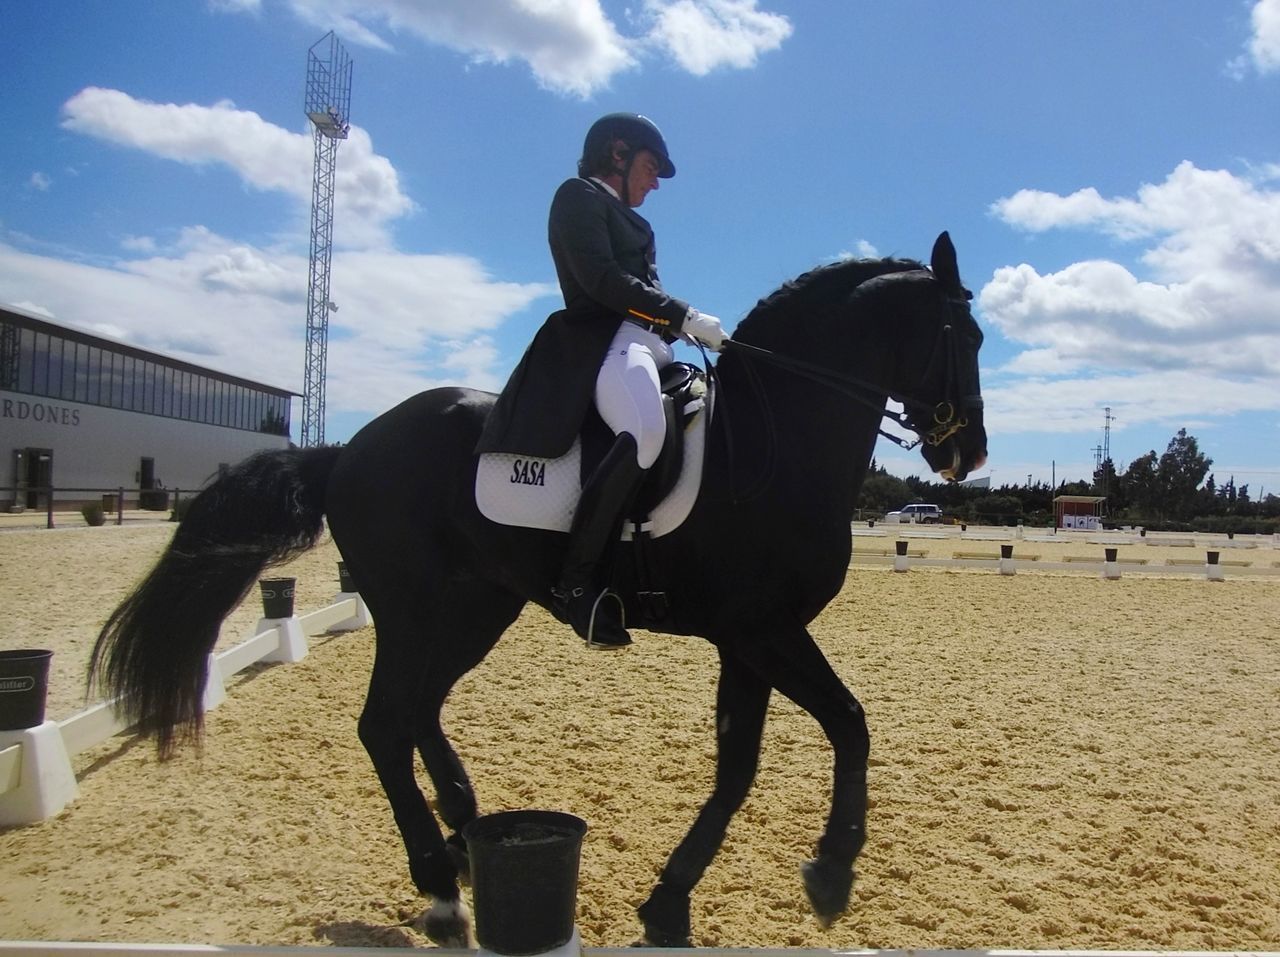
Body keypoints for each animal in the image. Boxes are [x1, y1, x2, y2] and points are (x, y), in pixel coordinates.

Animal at [92, 231, 988, 951]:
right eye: (968, 335)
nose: (969, 453)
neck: (769, 442)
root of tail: (347, 450)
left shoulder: (749, 639)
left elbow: (741, 766)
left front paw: (669, 902)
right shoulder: (764, 631)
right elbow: (850, 723)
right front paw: (832, 871)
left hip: (476, 606)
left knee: (420, 709)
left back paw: (465, 834)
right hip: (413, 609)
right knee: (384, 724)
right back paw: (442, 889)